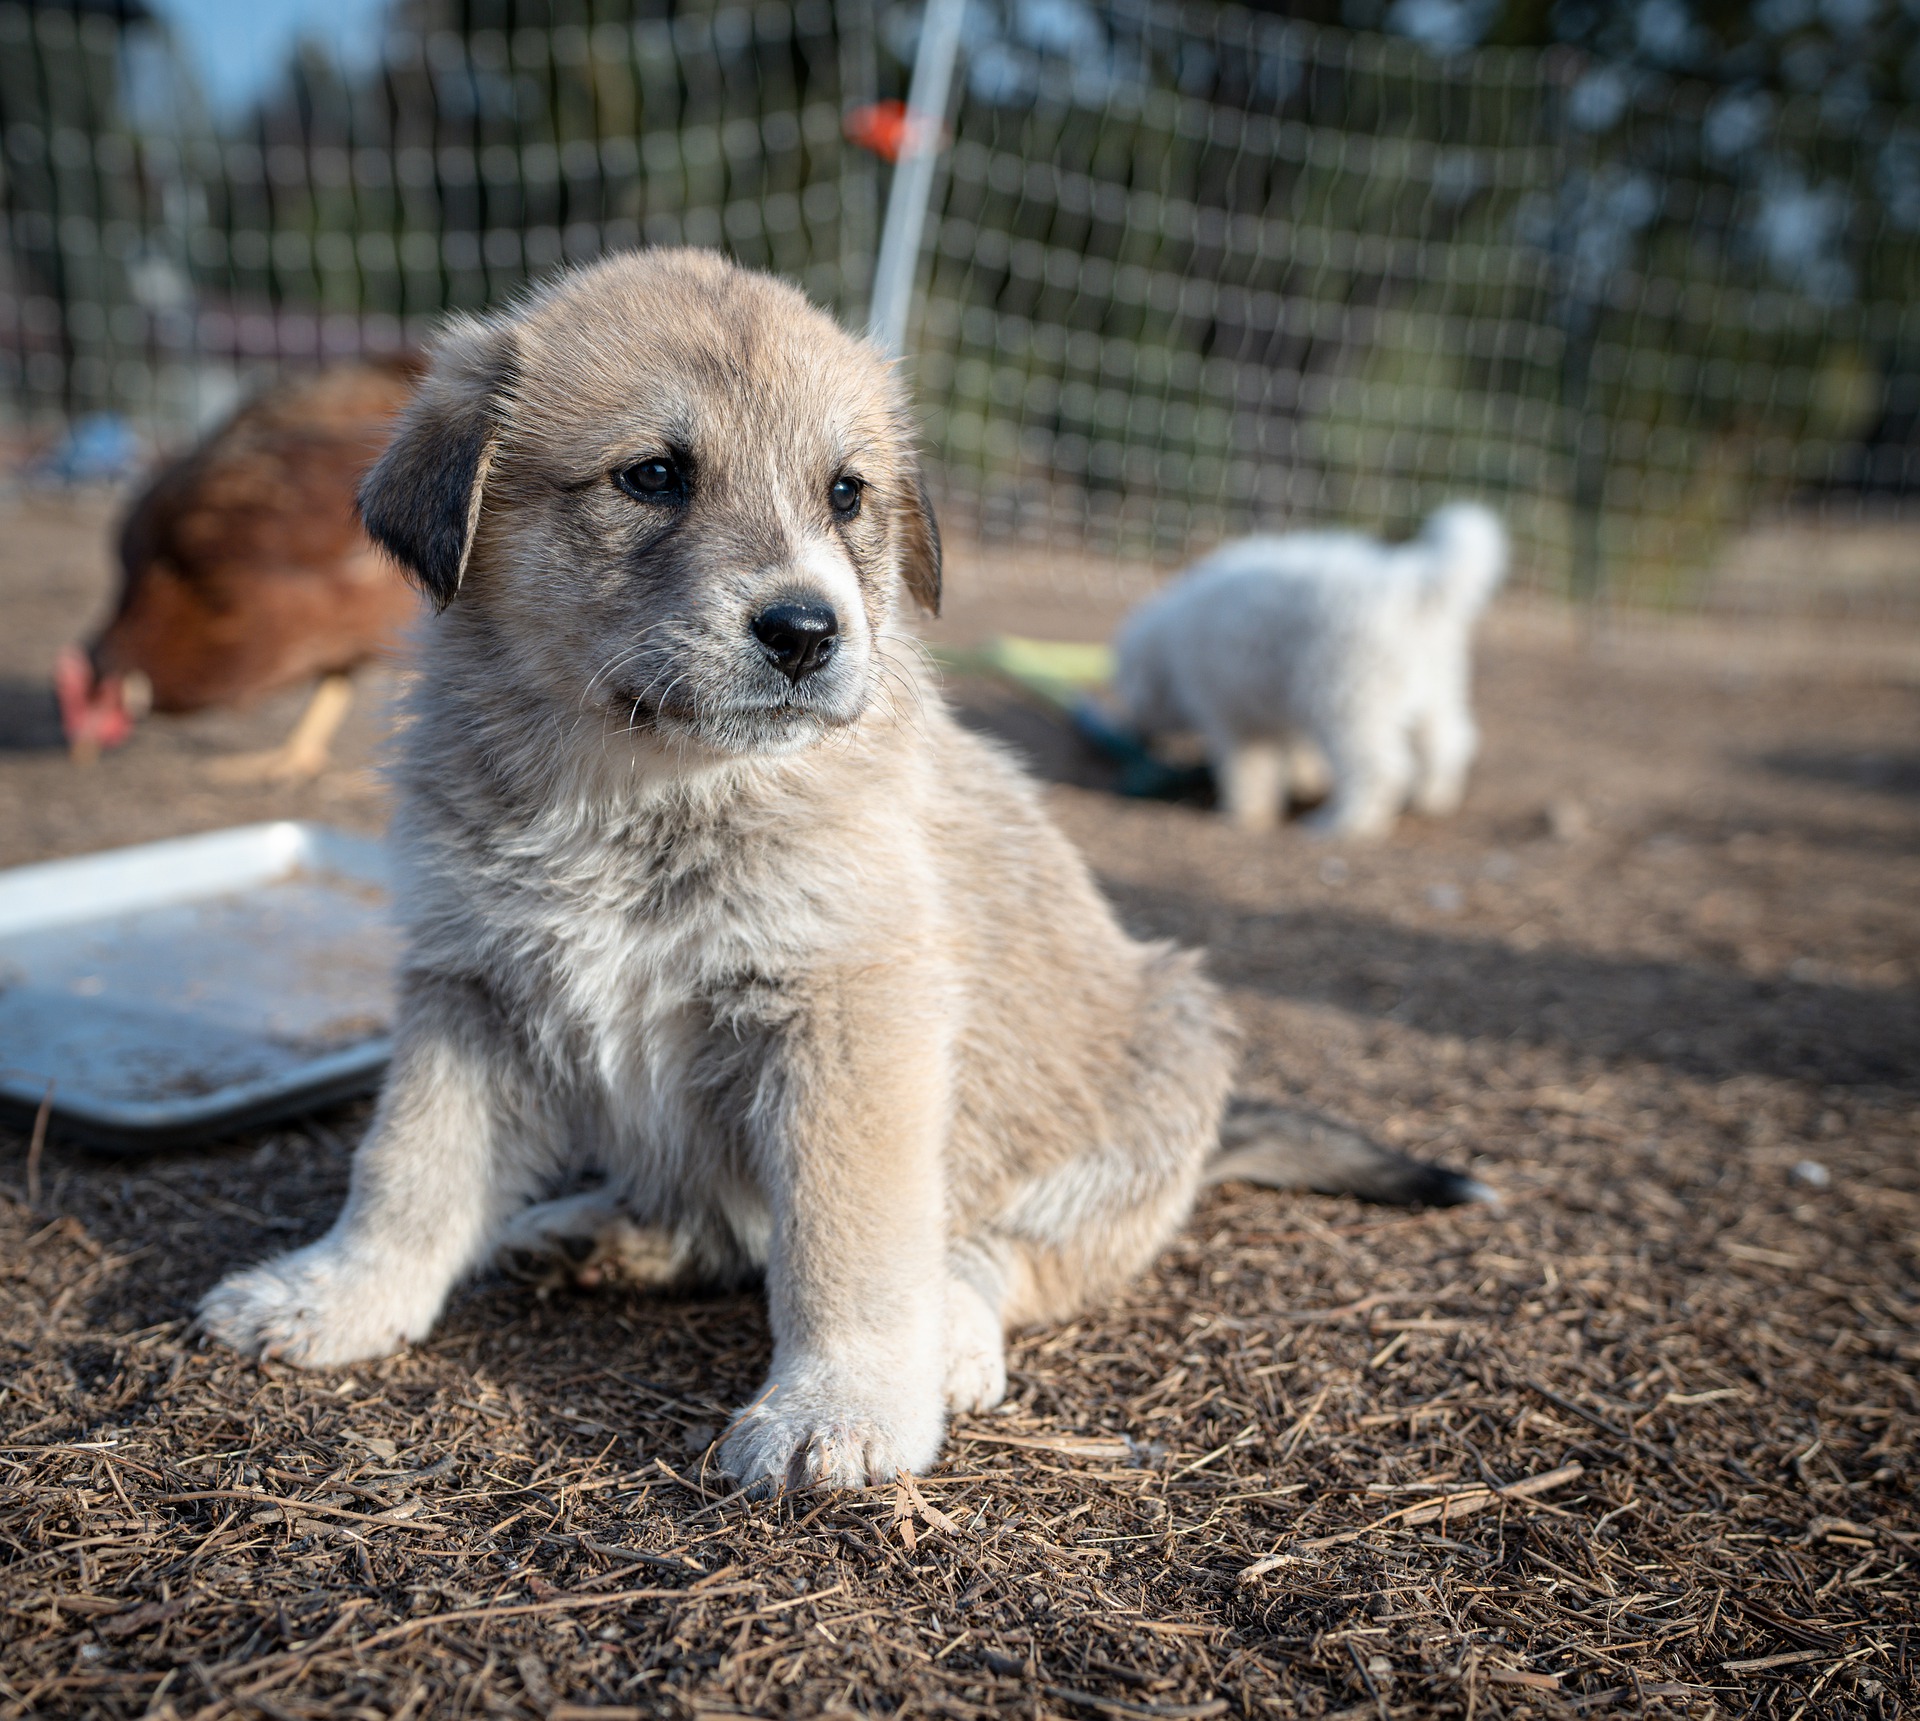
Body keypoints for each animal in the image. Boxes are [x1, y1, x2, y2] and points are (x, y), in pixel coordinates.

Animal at [1113, 503, 1512, 841]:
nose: (1135, 732)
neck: (1171, 644)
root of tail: (1408, 590)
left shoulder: (1237, 718)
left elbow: (1248, 769)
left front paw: (1245, 814)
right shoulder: (1282, 699)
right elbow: (1297, 748)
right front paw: (1305, 780)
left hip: (1347, 697)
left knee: (1380, 770)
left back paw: (1343, 825)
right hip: (1435, 688)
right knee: (1450, 741)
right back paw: (1434, 798)